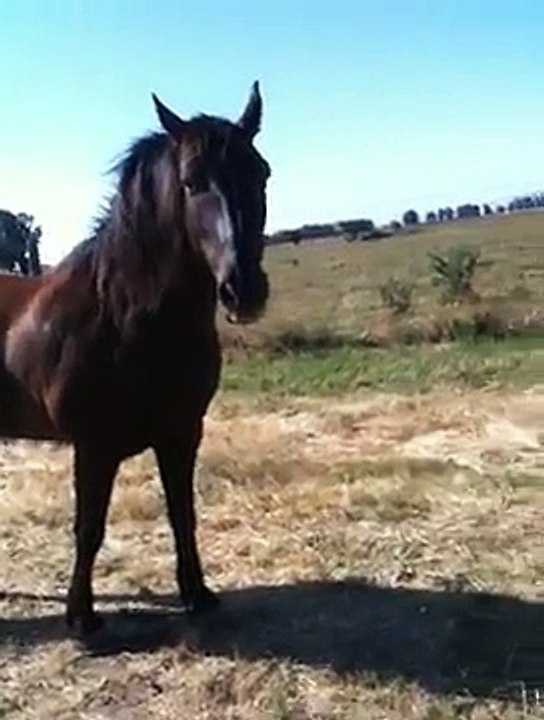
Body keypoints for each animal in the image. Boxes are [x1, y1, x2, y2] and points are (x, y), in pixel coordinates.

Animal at [0, 82, 271, 634]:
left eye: (262, 173)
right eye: (190, 182)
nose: (243, 291)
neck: (124, 317)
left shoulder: (182, 433)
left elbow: (182, 513)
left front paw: (197, 594)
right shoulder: (94, 445)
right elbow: (89, 527)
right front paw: (82, 618)